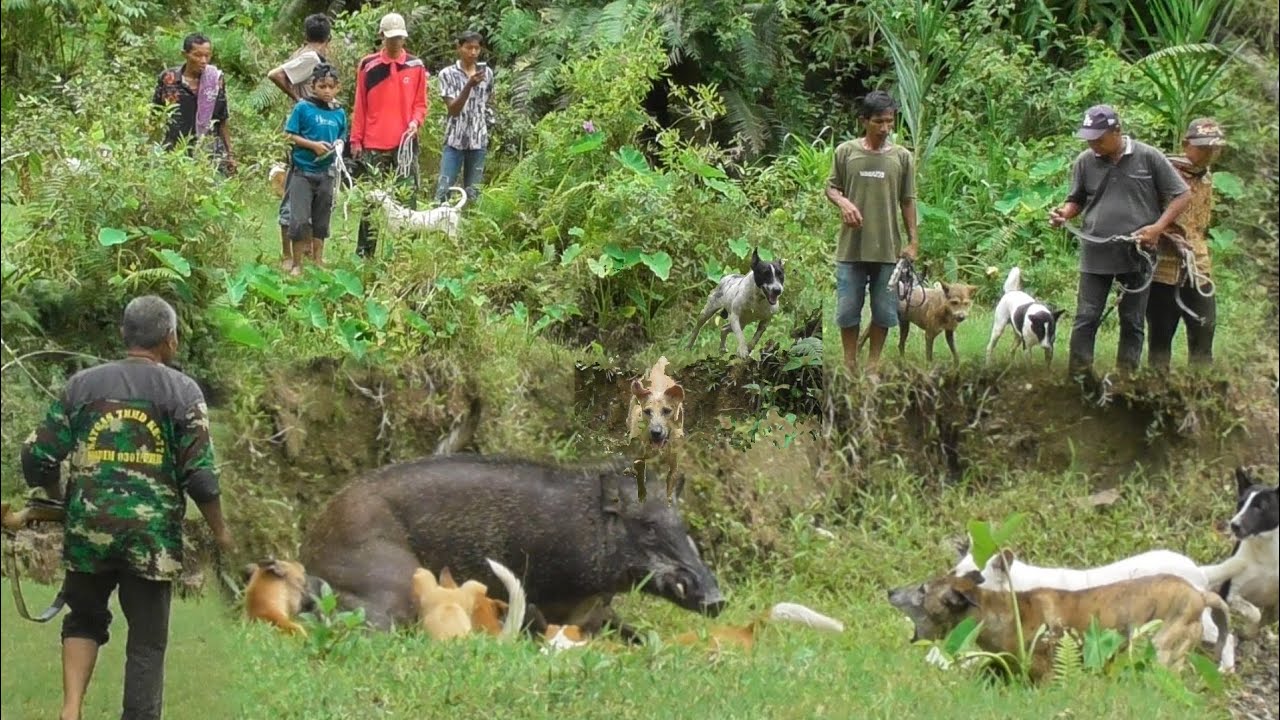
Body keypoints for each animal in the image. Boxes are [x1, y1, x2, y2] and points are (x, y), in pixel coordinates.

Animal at [300, 454, 726, 634]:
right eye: (648, 526)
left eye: (683, 524)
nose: (717, 599)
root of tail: (309, 553)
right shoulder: (540, 603)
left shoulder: (597, 612)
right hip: (396, 583)